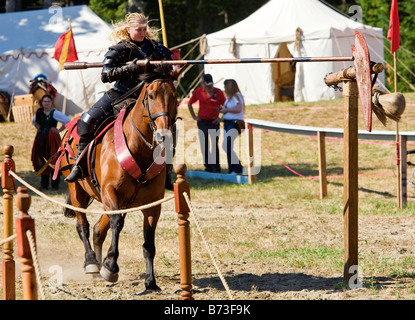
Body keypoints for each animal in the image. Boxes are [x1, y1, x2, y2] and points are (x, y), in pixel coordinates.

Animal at [59, 63, 180, 288]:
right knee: (83, 226)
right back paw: (92, 262)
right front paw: (110, 266)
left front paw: (151, 281)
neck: (138, 148)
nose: (164, 135)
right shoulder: (110, 193)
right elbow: (117, 224)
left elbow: (149, 242)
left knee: (98, 230)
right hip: (77, 190)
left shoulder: (152, 205)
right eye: (151, 95)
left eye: (174, 96)